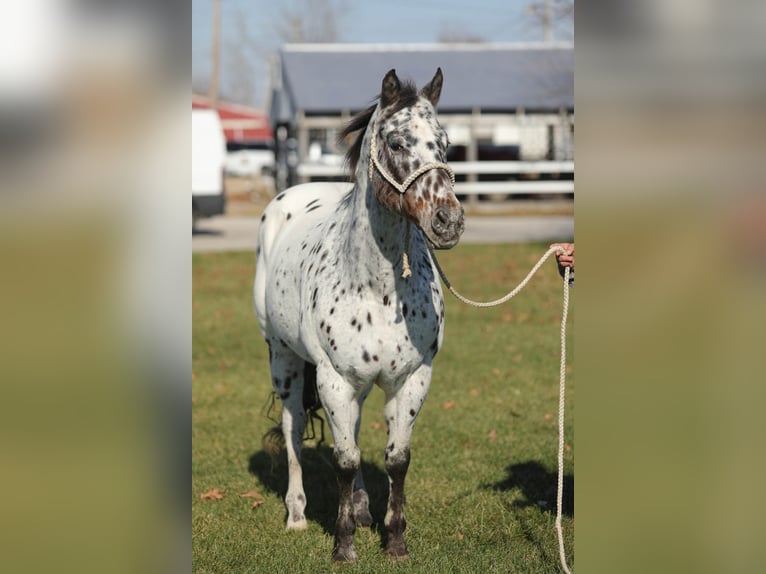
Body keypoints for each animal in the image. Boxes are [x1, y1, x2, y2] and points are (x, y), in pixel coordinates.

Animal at [255, 67, 464, 564]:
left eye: (445, 144)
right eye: (397, 142)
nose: (448, 222)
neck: (379, 290)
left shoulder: (412, 378)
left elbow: (396, 458)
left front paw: (395, 541)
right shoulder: (332, 379)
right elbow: (344, 460)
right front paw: (343, 544)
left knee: (350, 426)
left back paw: (364, 508)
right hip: (284, 361)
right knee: (293, 429)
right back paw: (297, 514)